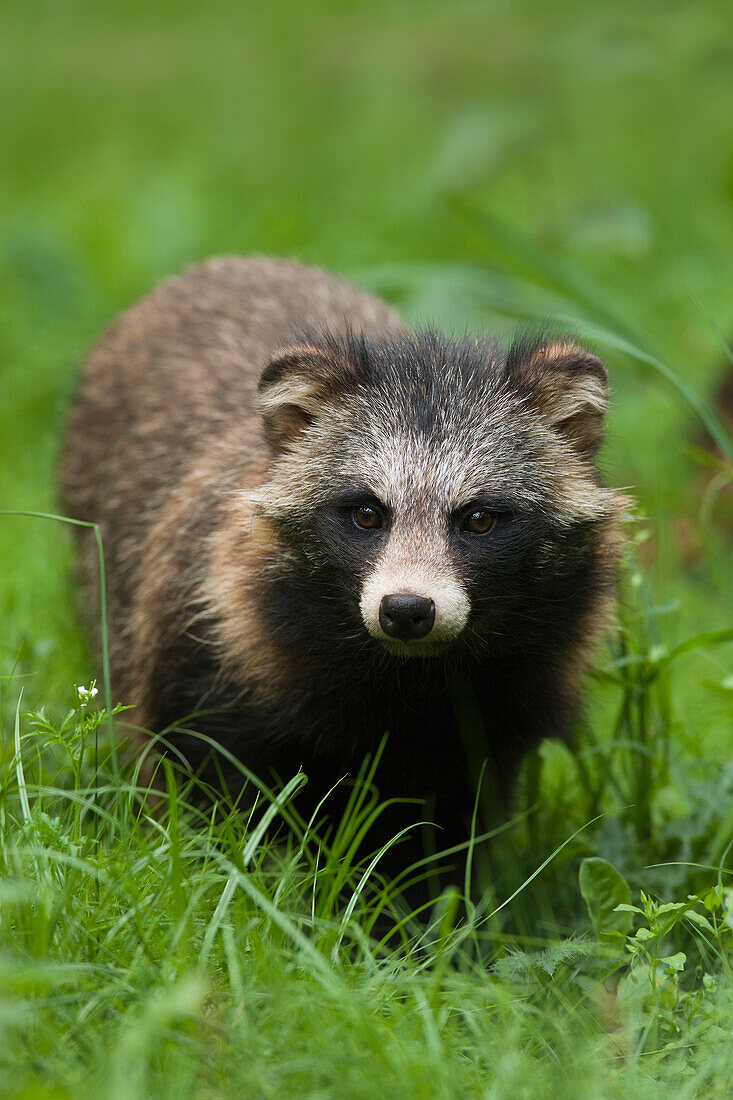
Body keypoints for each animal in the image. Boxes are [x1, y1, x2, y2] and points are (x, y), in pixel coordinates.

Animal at [59, 259, 625, 866]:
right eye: (367, 513)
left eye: (478, 519)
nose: (406, 609)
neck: (410, 675)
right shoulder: (208, 638)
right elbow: (203, 786)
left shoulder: (508, 692)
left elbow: (452, 823)